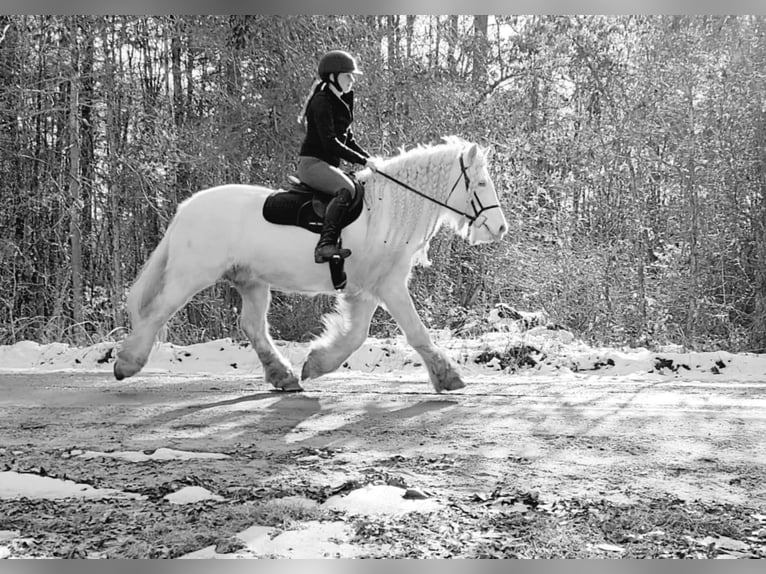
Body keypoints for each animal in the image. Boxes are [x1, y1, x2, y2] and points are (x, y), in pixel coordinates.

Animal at [114, 137, 510, 394]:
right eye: (481, 182)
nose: (500, 227)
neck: (386, 212)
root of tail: (184, 210)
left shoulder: (368, 289)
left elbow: (355, 335)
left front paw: (317, 363)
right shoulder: (389, 285)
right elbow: (416, 332)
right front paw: (448, 376)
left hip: (251, 282)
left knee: (253, 327)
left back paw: (284, 377)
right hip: (191, 275)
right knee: (157, 312)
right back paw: (127, 363)